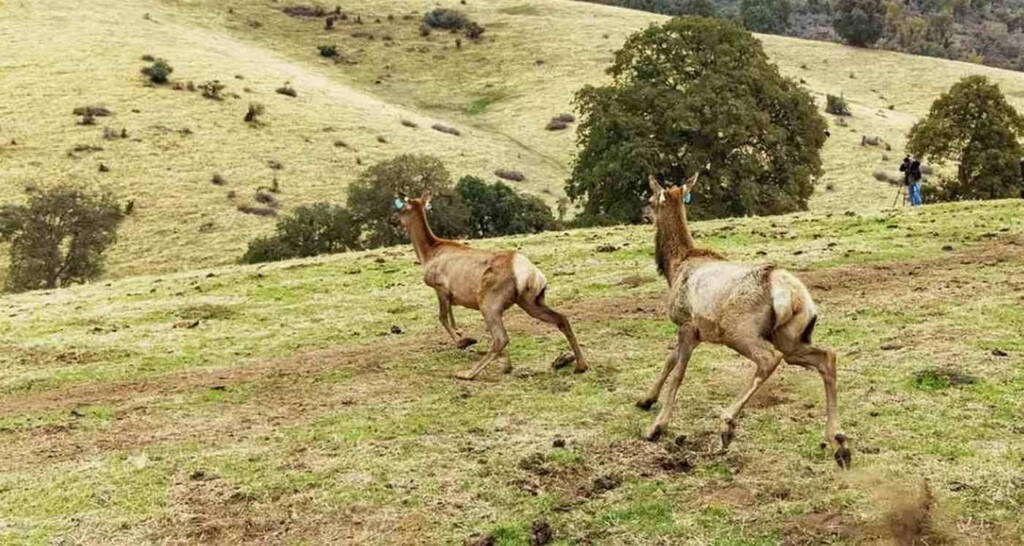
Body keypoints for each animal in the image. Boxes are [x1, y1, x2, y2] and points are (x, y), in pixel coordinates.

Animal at [391, 191, 589, 380]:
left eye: (401, 208)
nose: (391, 220)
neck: (428, 254)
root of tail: (530, 273)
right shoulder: (452, 294)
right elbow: (452, 317)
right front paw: (462, 333)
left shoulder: (439, 286)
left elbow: (442, 317)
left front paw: (463, 341)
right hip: (531, 300)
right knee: (561, 319)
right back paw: (580, 365)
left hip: (489, 301)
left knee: (501, 338)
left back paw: (468, 373)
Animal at [639, 170, 850, 468]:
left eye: (650, 199)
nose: (643, 213)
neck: (674, 267)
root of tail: (793, 295)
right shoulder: (695, 330)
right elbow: (669, 360)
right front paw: (645, 399)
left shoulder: (687, 323)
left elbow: (678, 371)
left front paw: (657, 427)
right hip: (791, 337)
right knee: (827, 356)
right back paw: (839, 441)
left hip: (740, 330)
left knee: (768, 359)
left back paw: (727, 423)